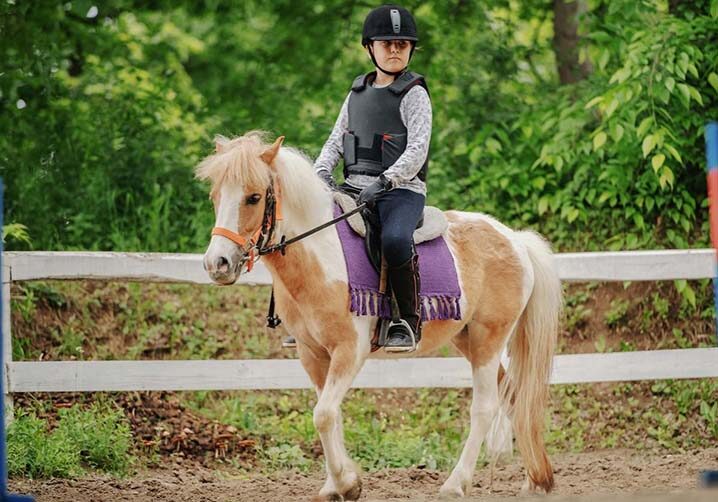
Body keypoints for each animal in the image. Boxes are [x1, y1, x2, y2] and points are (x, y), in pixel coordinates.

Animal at [197, 131, 564, 500]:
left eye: (254, 197)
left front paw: (347, 484)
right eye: (215, 196)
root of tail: (514, 239)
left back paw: (455, 484)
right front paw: (336, 484)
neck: (322, 256)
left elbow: (323, 415)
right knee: (513, 395)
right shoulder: (312, 353)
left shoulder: (349, 350)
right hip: (468, 339)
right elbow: (331, 415)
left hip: (490, 337)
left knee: (485, 407)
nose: (218, 264)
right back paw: (533, 480)